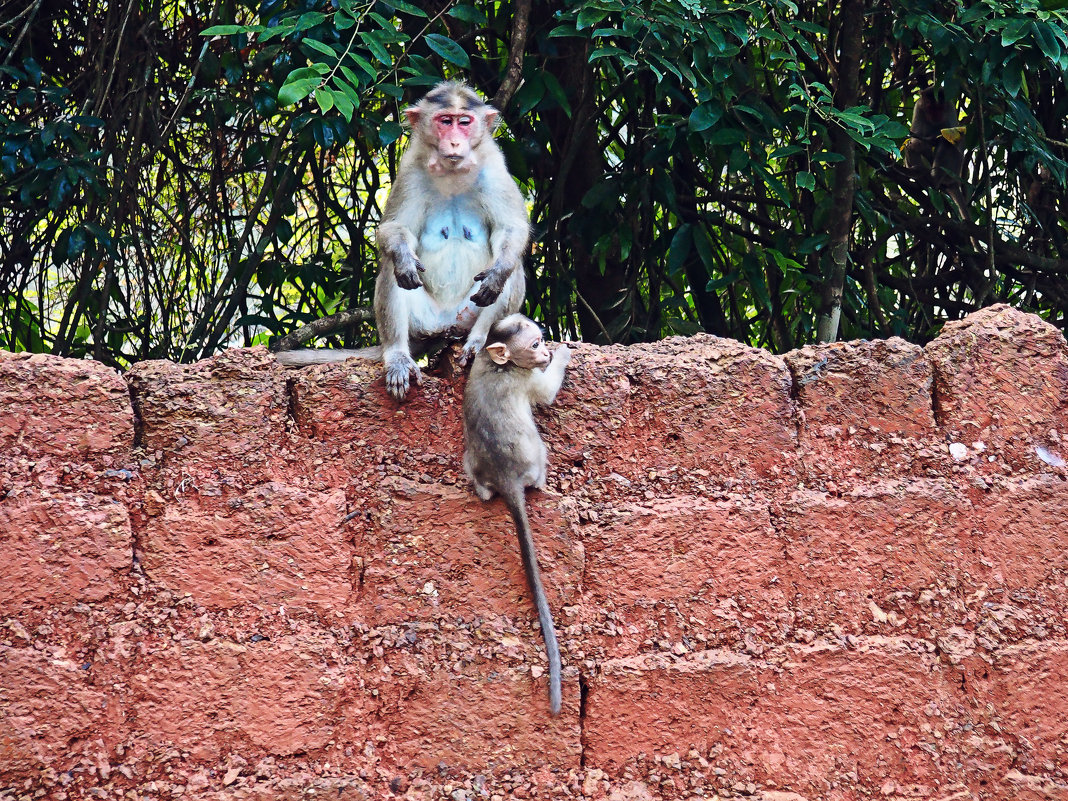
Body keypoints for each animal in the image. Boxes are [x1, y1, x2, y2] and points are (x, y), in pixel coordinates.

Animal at [273, 81, 527, 401]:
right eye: (445, 121)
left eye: (464, 122)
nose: (455, 143)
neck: (453, 171)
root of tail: (445, 325)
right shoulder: (410, 171)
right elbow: (394, 229)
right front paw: (403, 257)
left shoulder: (495, 170)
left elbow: (511, 230)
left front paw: (498, 272)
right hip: (422, 322)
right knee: (392, 270)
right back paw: (397, 355)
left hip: (466, 315)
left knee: (512, 269)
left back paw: (480, 339)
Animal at [463, 311, 572, 713]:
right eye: (536, 344)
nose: (544, 353)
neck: (502, 365)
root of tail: (507, 479)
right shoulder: (527, 379)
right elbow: (547, 392)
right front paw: (565, 351)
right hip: (534, 459)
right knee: (539, 453)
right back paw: (541, 484)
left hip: (474, 467)